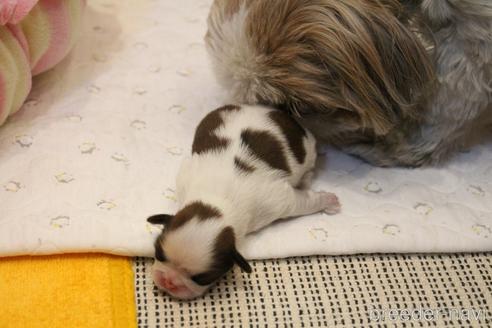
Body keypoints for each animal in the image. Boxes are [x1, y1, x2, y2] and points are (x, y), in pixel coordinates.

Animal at [148, 105, 340, 300]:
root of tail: (276, 112)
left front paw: (328, 201)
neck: (218, 201)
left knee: (309, 166)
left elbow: (304, 202)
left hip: (308, 148)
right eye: (158, 253)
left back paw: (305, 180)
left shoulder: (279, 201)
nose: (169, 281)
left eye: (201, 278)